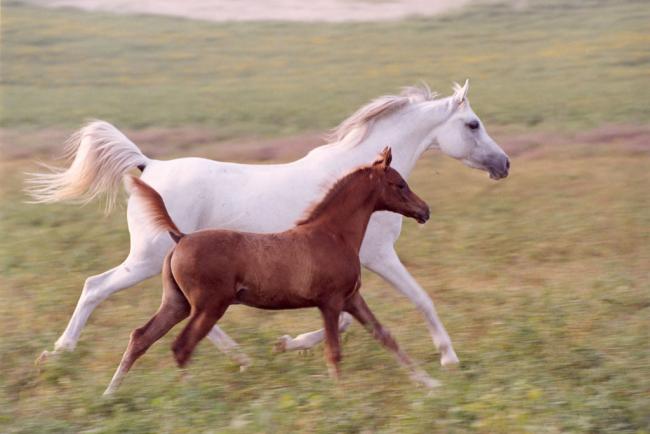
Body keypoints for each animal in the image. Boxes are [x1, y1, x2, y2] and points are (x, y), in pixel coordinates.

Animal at [29, 79, 506, 368]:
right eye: (473, 124)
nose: (504, 164)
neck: (357, 184)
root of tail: (149, 168)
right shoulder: (379, 257)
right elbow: (420, 299)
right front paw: (449, 359)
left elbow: (348, 319)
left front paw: (289, 343)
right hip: (147, 258)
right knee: (96, 287)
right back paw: (59, 351)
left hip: (169, 262)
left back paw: (241, 357)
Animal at [104, 147, 438, 396]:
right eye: (399, 184)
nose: (425, 211)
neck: (333, 234)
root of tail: (181, 237)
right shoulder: (330, 302)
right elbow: (334, 352)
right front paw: (340, 395)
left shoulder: (352, 299)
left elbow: (385, 336)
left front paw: (429, 382)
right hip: (208, 306)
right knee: (181, 347)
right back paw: (189, 395)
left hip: (177, 303)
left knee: (141, 338)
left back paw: (110, 393)